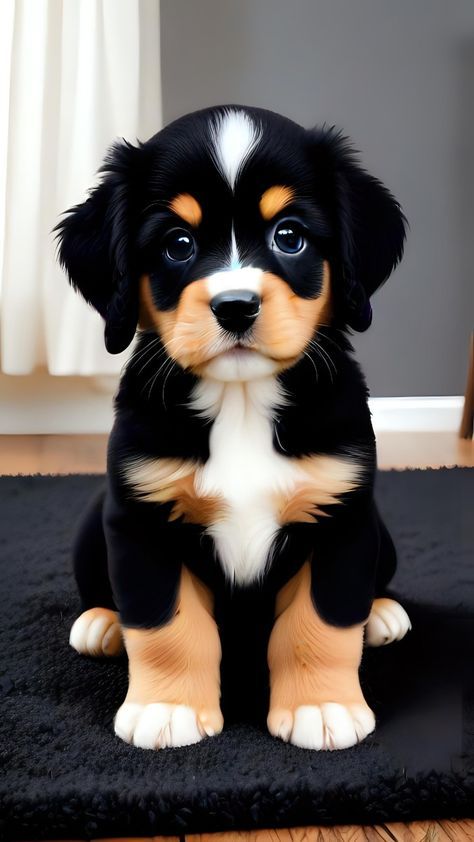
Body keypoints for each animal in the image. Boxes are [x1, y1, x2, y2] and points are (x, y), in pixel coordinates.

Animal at [56, 103, 412, 748]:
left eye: (289, 236)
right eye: (177, 243)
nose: (236, 305)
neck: (241, 403)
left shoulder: (342, 515)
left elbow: (323, 621)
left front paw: (321, 705)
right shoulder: (142, 519)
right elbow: (163, 625)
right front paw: (167, 708)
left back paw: (382, 612)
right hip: (95, 526)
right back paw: (102, 624)